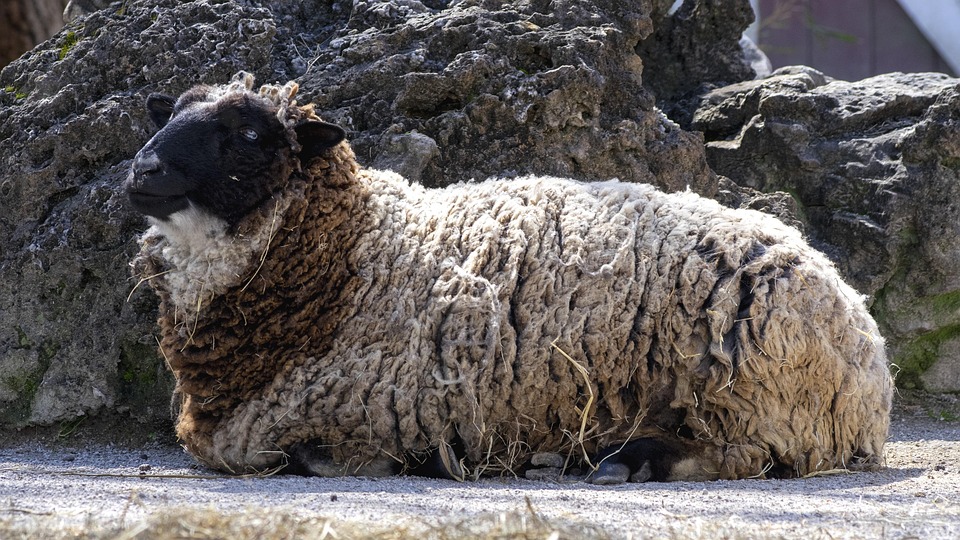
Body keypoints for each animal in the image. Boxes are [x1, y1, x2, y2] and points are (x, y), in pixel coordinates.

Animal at [125, 72, 893, 483]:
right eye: (176, 113)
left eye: (252, 135)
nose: (144, 170)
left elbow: (311, 456)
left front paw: (425, 461)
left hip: (757, 399)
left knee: (746, 454)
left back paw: (626, 458)